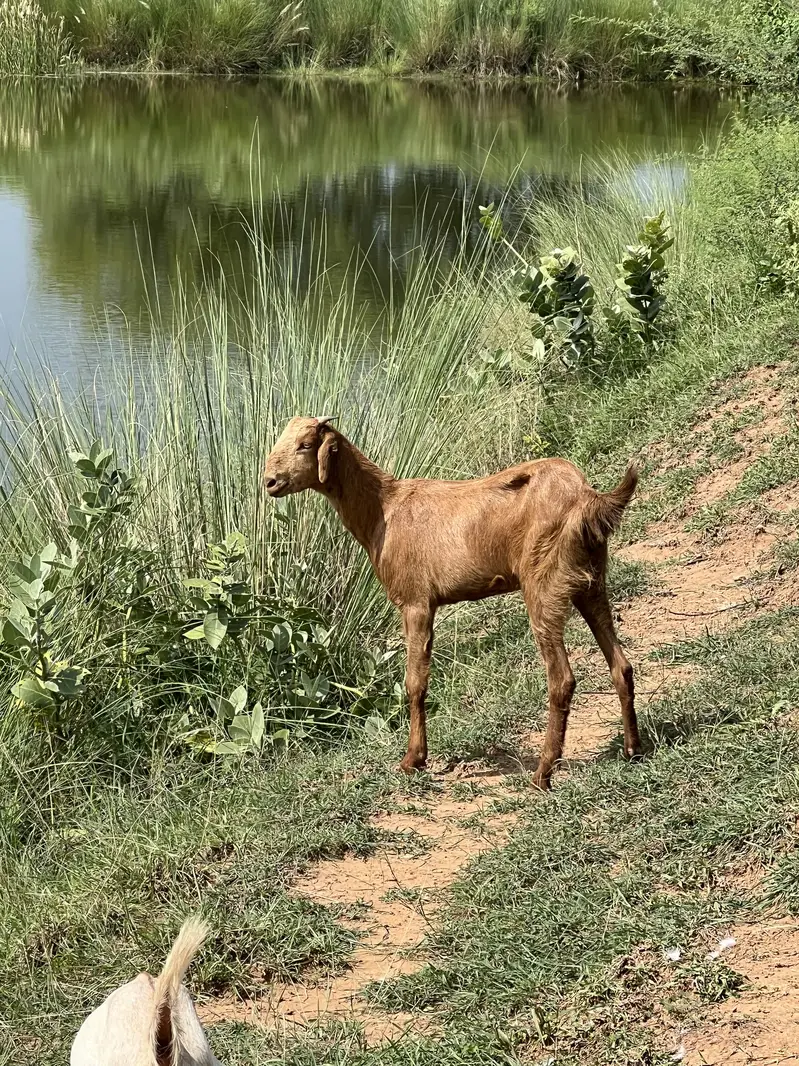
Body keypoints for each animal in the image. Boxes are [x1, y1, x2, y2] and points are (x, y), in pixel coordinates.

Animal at [264, 417, 640, 788]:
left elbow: (415, 682)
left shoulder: (415, 601)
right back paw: (632, 749)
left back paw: (543, 773)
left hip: (543, 582)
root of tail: (588, 499)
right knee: (621, 665)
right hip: (591, 580)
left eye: (305, 445)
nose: (270, 481)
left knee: (561, 679)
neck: (384, 509)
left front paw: (413, 759)